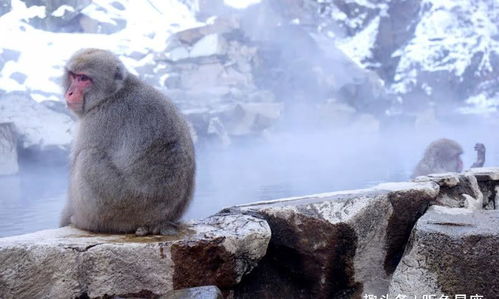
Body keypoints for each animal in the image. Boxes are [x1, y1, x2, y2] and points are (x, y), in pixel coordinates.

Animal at [59, 48, 196, 237]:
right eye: (73, 76)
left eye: (84, 78)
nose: (69, 93)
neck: (113, 93)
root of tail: (159, 221)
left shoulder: (98, 121)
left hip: (121, 205)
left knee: (87, 158)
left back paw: (84, 222)